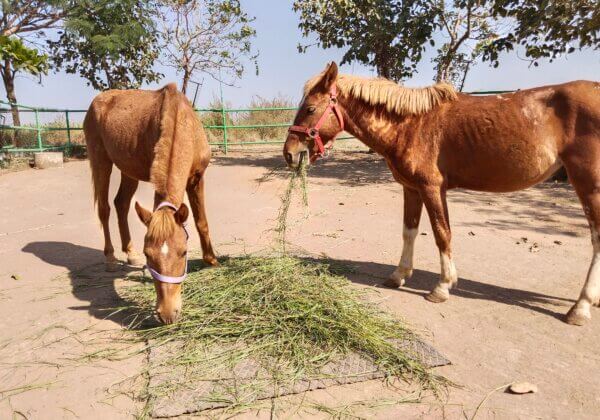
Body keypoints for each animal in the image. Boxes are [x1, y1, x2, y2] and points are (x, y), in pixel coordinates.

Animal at [83, 83, 217, 324]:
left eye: (184, 252)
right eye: (149, 254)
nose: (167, 314)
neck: (182, 122)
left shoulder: (197, 177)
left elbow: (202, 222)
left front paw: (211, 261)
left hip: (128, 170)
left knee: (121, 204)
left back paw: (130, 253)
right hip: (100, 161)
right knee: (105, 209)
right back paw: (110, 258)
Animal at [284, 61, 600, 324]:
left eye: (310, 109)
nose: (289, 153)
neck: (411, 125)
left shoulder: (432, 189)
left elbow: (442, 234)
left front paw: (443, 286)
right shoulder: (411, 188)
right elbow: (409, 232)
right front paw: (399, 275)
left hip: (589, 186)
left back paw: (581, 307)